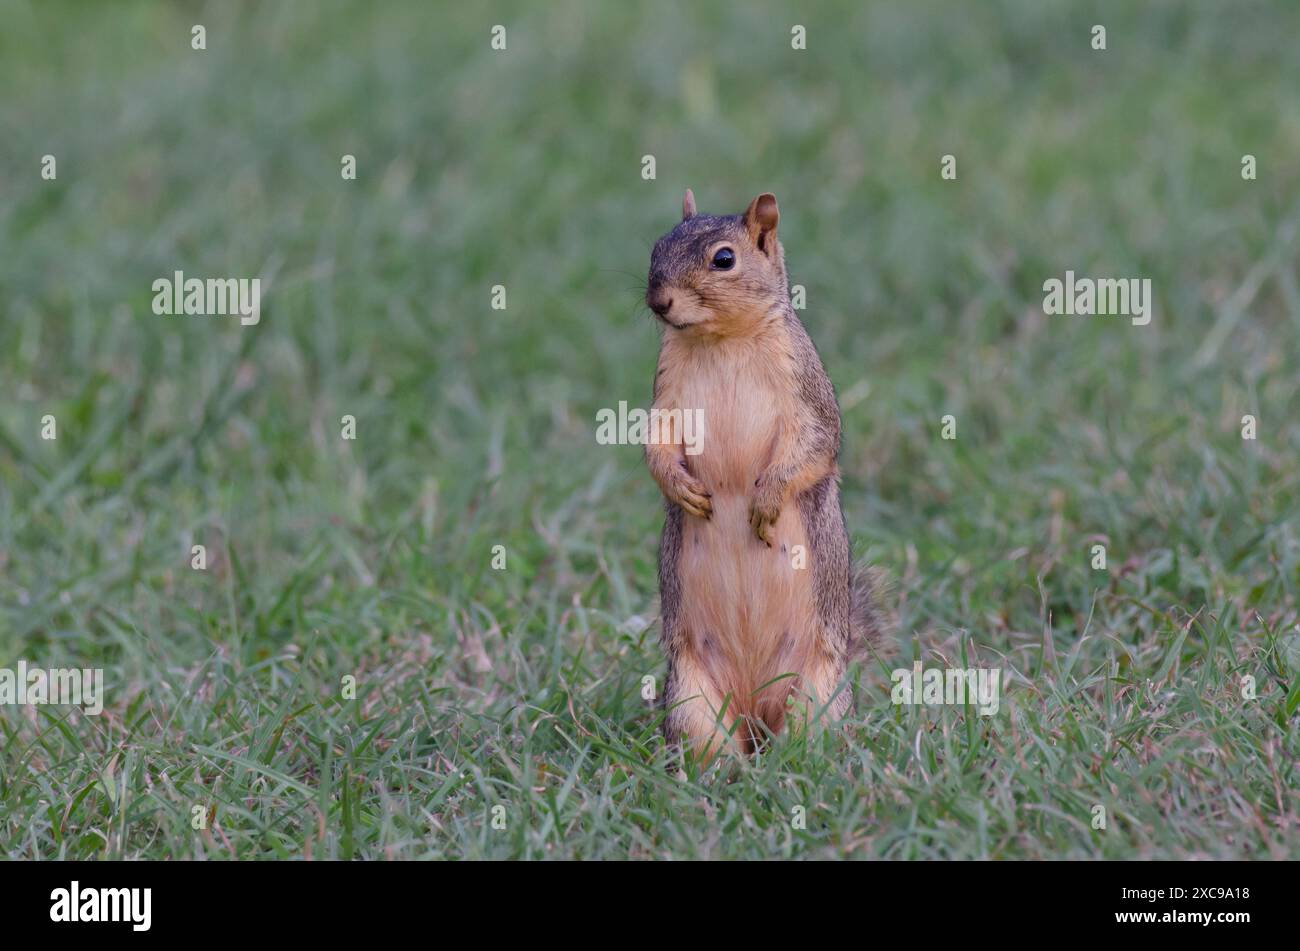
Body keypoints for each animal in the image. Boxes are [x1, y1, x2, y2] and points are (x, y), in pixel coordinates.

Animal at [645, 189, 885, 764]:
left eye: (724, 259)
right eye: (656, 246)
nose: (659, 301)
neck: (723, 340)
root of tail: (755, 713)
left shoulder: (806, 392)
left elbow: (816, 445)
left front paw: (767, 500)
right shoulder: (667, 394)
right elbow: (654, 442)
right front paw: (678, 487)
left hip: (818, 695)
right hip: (691, 699)